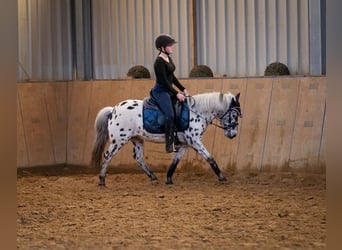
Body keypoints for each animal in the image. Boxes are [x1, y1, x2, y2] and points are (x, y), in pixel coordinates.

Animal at [89, 92, 242, 186]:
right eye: (234, 115)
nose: (233, 134)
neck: (198, 112)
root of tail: (113, 110)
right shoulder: (195, 141)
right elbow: (210, 158)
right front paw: (222, 177)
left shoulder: (185, 144)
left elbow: (175, 161)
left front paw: (168, 179)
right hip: (119, 140)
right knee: (107, 156)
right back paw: (102, 180)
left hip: (137, 139)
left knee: (138, 158)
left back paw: (153, 177)